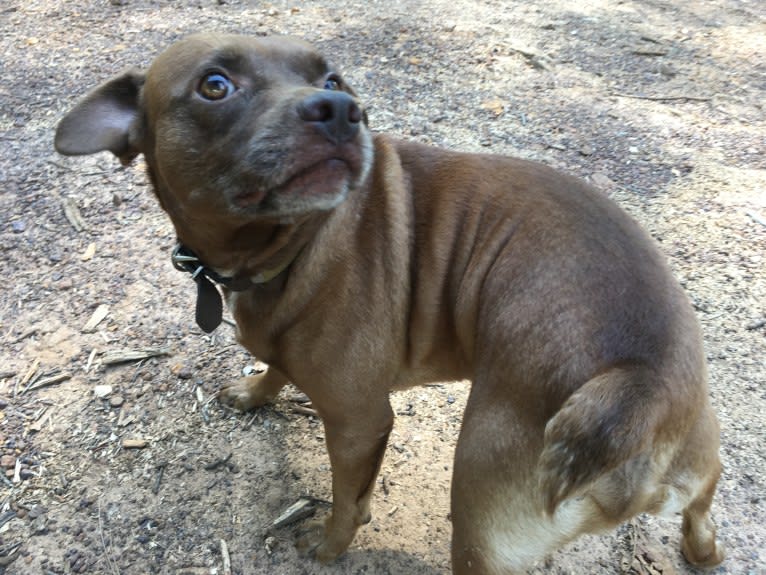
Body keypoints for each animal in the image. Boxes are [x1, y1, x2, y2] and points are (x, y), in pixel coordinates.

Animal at [55, 33, 728, 572]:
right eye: (214, 85)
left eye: (332, 80)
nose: (339, 108)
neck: (295, 243)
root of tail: (640, 386)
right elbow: (275, 365)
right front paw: (254, 392)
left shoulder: (359, 423)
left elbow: (347, 504)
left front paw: (328, 549)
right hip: (701, 459)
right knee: (702, 509)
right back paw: (702, 551)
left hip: (478, 515)